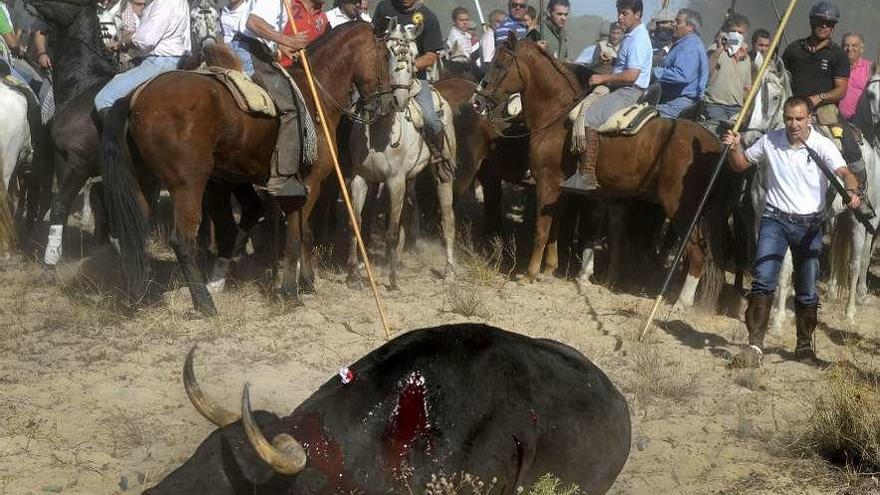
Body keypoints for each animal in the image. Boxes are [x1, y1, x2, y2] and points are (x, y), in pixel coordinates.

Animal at [101, 22, 394, 314]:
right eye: (385, 56)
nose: (388, 104)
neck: (315, 96)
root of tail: (135, 99)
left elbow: (304, 234)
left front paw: (306, 282)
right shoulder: (308, 184)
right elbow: (295, 237)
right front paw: (290, 292)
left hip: (145, 182)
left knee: (135, 233)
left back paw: (139, 297)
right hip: (188, 184)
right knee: (182, 240)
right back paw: (205, 304)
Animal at [348, 20, 458, 290]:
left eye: (412, 57)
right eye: (387, 53)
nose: (396, 100)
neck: (379, 130)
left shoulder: (394, 181)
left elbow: (391, 231)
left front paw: (392, 281)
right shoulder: (360, 178)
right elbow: (355, 222)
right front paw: (353, 274)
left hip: (440, 175)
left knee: (447, 218)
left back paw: (449, 269)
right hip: (410, 180)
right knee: (407, 215)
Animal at [474, 36, 736, 310]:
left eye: (500, 64)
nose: (478, 100)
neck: (556, 117)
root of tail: (716, 144)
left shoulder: (546, 184)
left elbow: (542, 230)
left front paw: (531, 273)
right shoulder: (561, 191)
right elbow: (555, 227)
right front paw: (549, 268)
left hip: (681, 209)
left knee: (696, 252)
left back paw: (681, 303)